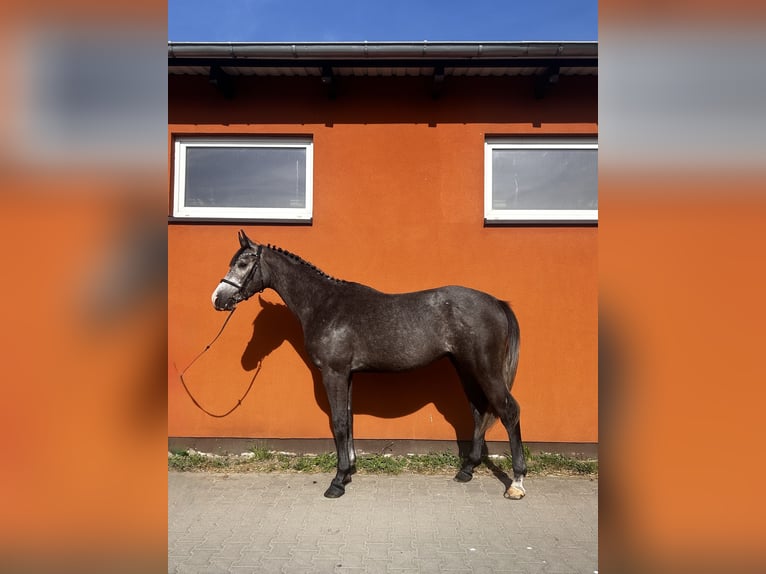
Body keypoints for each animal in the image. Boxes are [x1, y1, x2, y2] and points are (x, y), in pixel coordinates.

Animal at [211, 230, 527, 499]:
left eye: (242, 263)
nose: (218, 299)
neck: (324, 305)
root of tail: (496, 302)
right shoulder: (347, 375)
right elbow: (349, 420)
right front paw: (349, 470)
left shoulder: (334, 373)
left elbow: (339, 423)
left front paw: (337, 481)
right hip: (466, 369)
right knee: (479, 411)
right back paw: (467, 470)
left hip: (486, 370)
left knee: (509, 411)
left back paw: (517, 483)